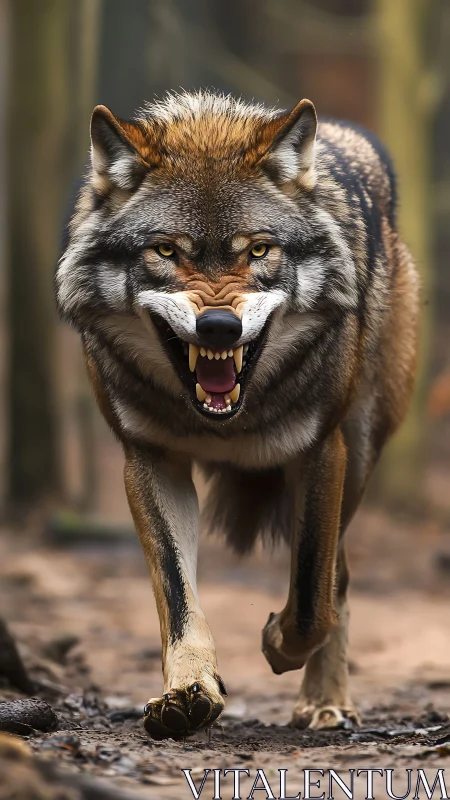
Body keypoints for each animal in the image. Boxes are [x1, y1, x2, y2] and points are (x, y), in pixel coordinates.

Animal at [56, 91, 419, 739]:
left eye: (259, 250)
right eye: (166, 250)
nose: (219, 328)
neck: (226, 419)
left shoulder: (320, 451)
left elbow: (311, 598)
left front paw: (276, 642)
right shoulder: (150, 460)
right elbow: (178, 596)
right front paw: (188, 693)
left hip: (357, 457)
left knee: (340, 580)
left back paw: (326, 703)